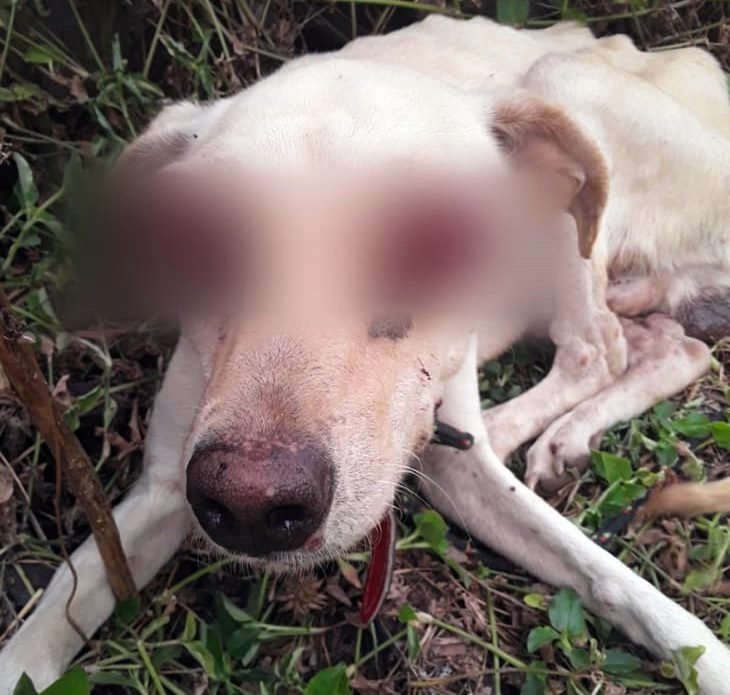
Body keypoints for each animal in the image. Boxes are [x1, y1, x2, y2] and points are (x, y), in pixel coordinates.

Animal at [2, 15, 729, 693]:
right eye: (192, 240)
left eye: (437, 243)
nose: (252, 504)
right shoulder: (159, 489)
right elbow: (44, 626)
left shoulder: (464, 463)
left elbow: (610, 576)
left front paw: (707, 657)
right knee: (673, 346)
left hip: (562, 100)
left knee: (595, 347)